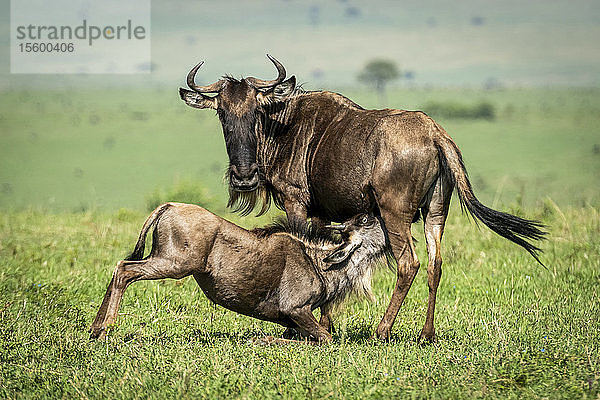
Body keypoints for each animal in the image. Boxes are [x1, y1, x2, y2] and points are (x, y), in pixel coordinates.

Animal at [89, 205, 390, 342]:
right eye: (366, 219)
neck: (319, 263)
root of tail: (170, 206)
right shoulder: (295, 310)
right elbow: (327, 339)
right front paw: (262, 341)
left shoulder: (293, 320)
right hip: (173, 265)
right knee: (124, 270)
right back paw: (104, 330)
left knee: (118, 269)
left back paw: (94, 330)